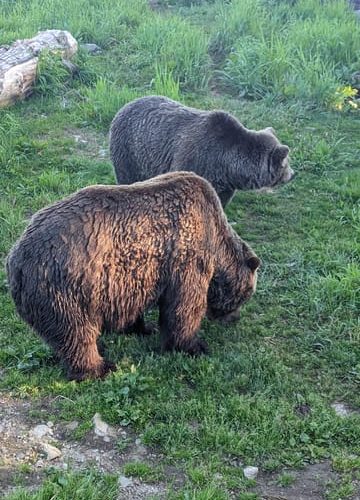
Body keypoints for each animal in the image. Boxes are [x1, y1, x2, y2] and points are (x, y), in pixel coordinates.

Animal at [5, 172, 258, 378]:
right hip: (66, 287)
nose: (234, 318)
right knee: (76, 333)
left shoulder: (130, 278)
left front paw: (142, 328)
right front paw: (194, 346)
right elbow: (184, 307)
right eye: (247, 294)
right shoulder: (187, 256)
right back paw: (100, 367)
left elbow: (132, 307)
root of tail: (16, 260)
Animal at [109, 94, 296, 206]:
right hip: (130, 151)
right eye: (286, 163)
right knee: (128, 177)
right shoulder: (195, 160)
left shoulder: (224, 184)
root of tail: (125, 105)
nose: (293, 174)